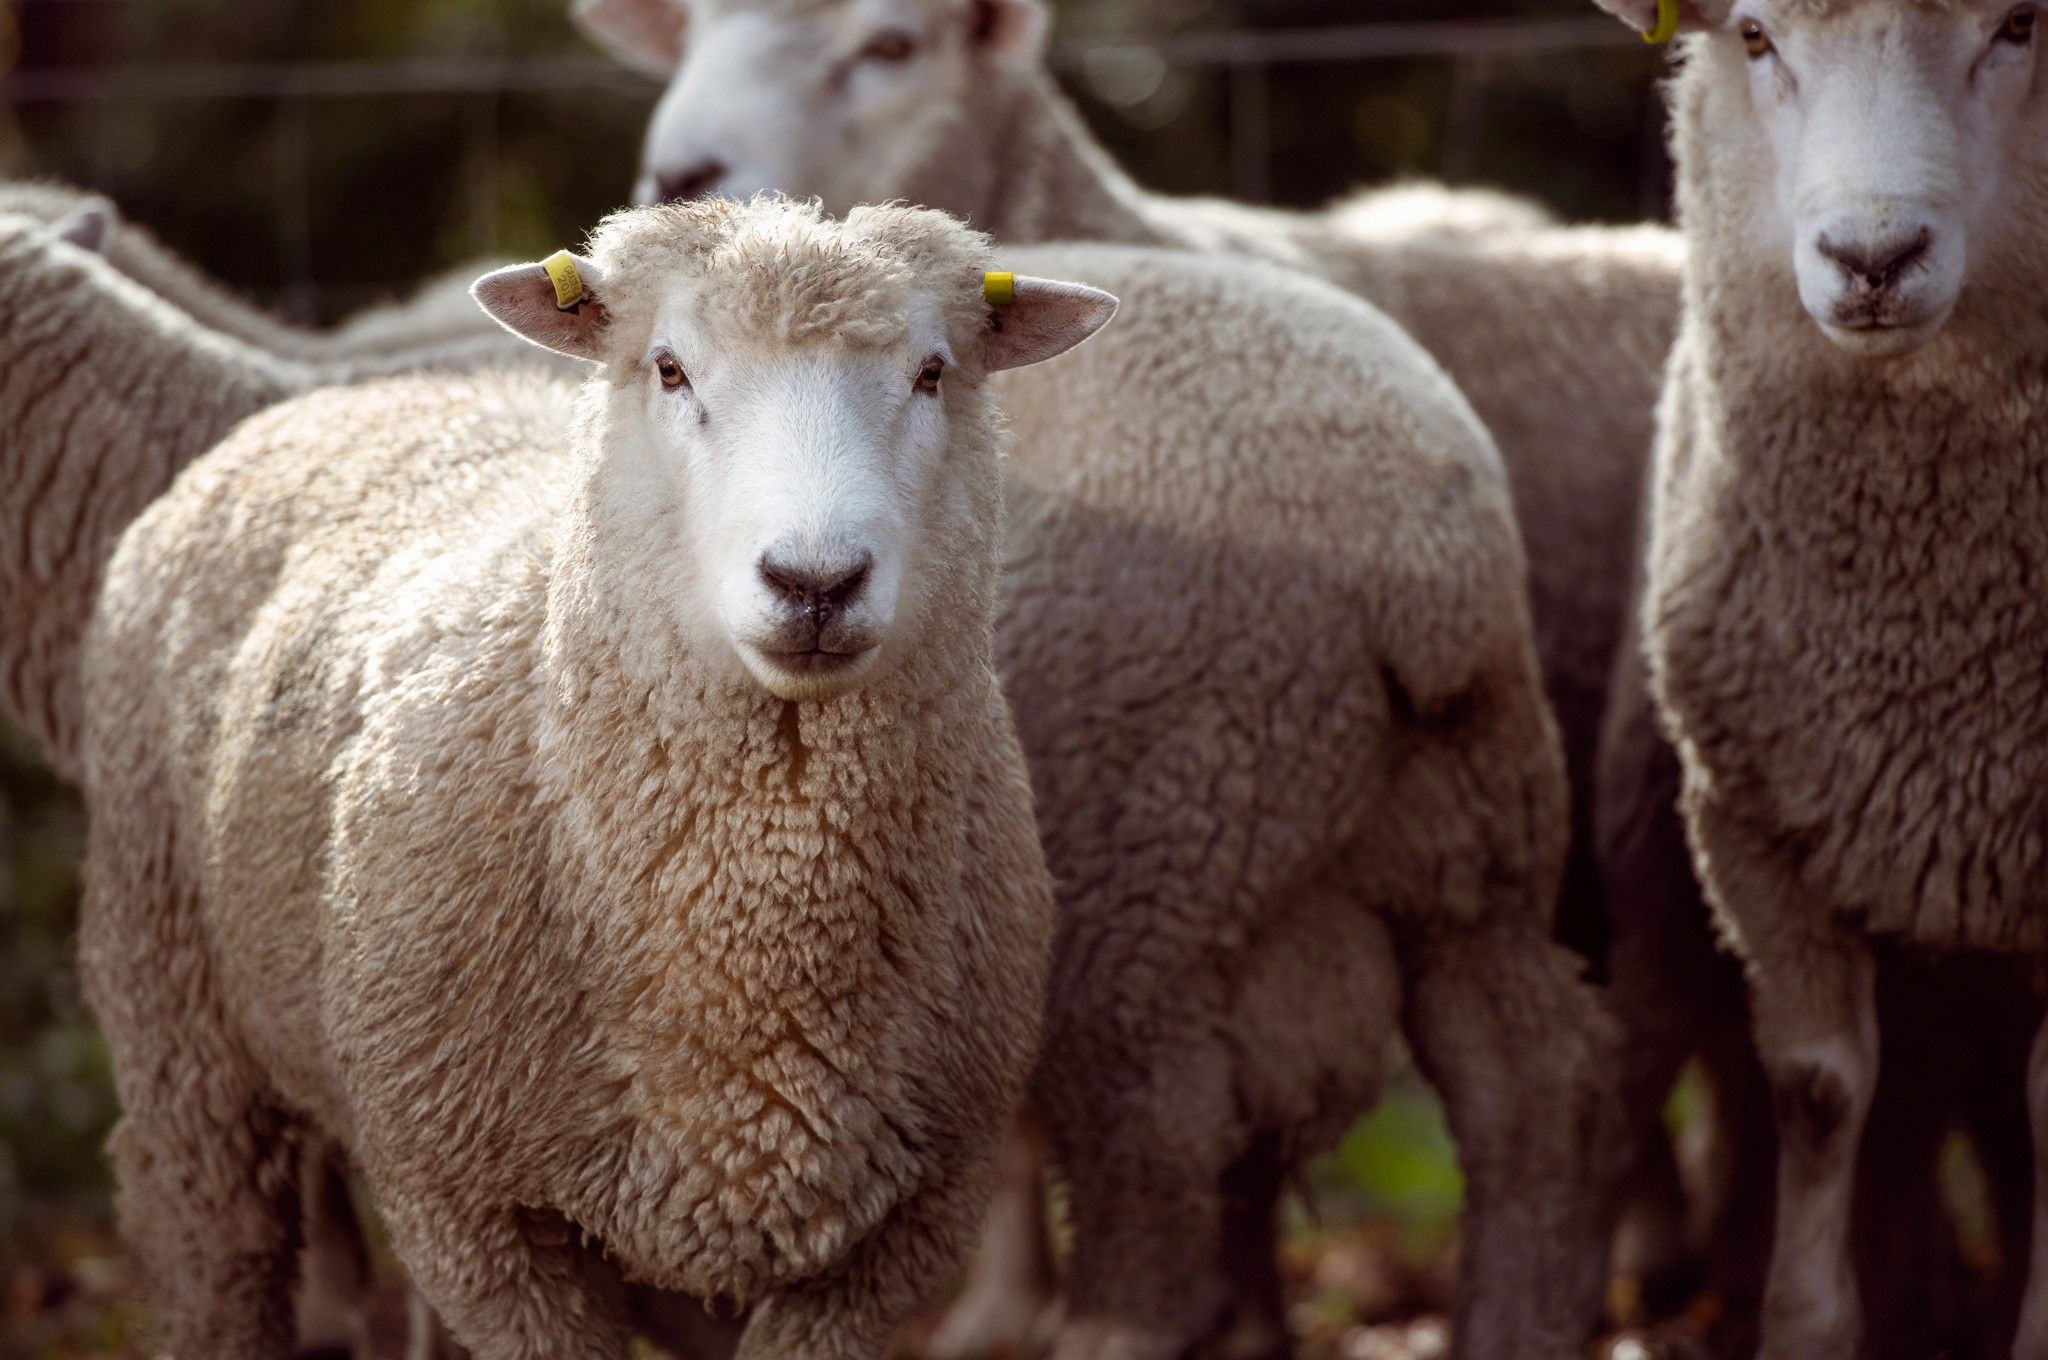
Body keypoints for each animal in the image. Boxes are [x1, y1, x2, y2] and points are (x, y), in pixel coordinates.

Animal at [75, 195, 1108, 1360]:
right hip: (177, 1014)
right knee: (213, 1237)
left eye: (934, 373)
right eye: (669, 369)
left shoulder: (906, 1226)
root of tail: (364, 390)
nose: (814, 581)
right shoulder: (474, 1210)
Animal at [1583, 3, 2048, 1358]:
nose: (1871, 255)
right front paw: (1800, 1320)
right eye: (1752, 35)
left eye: (2018, 27)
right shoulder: (1751, 823)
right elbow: (1817, 1088)